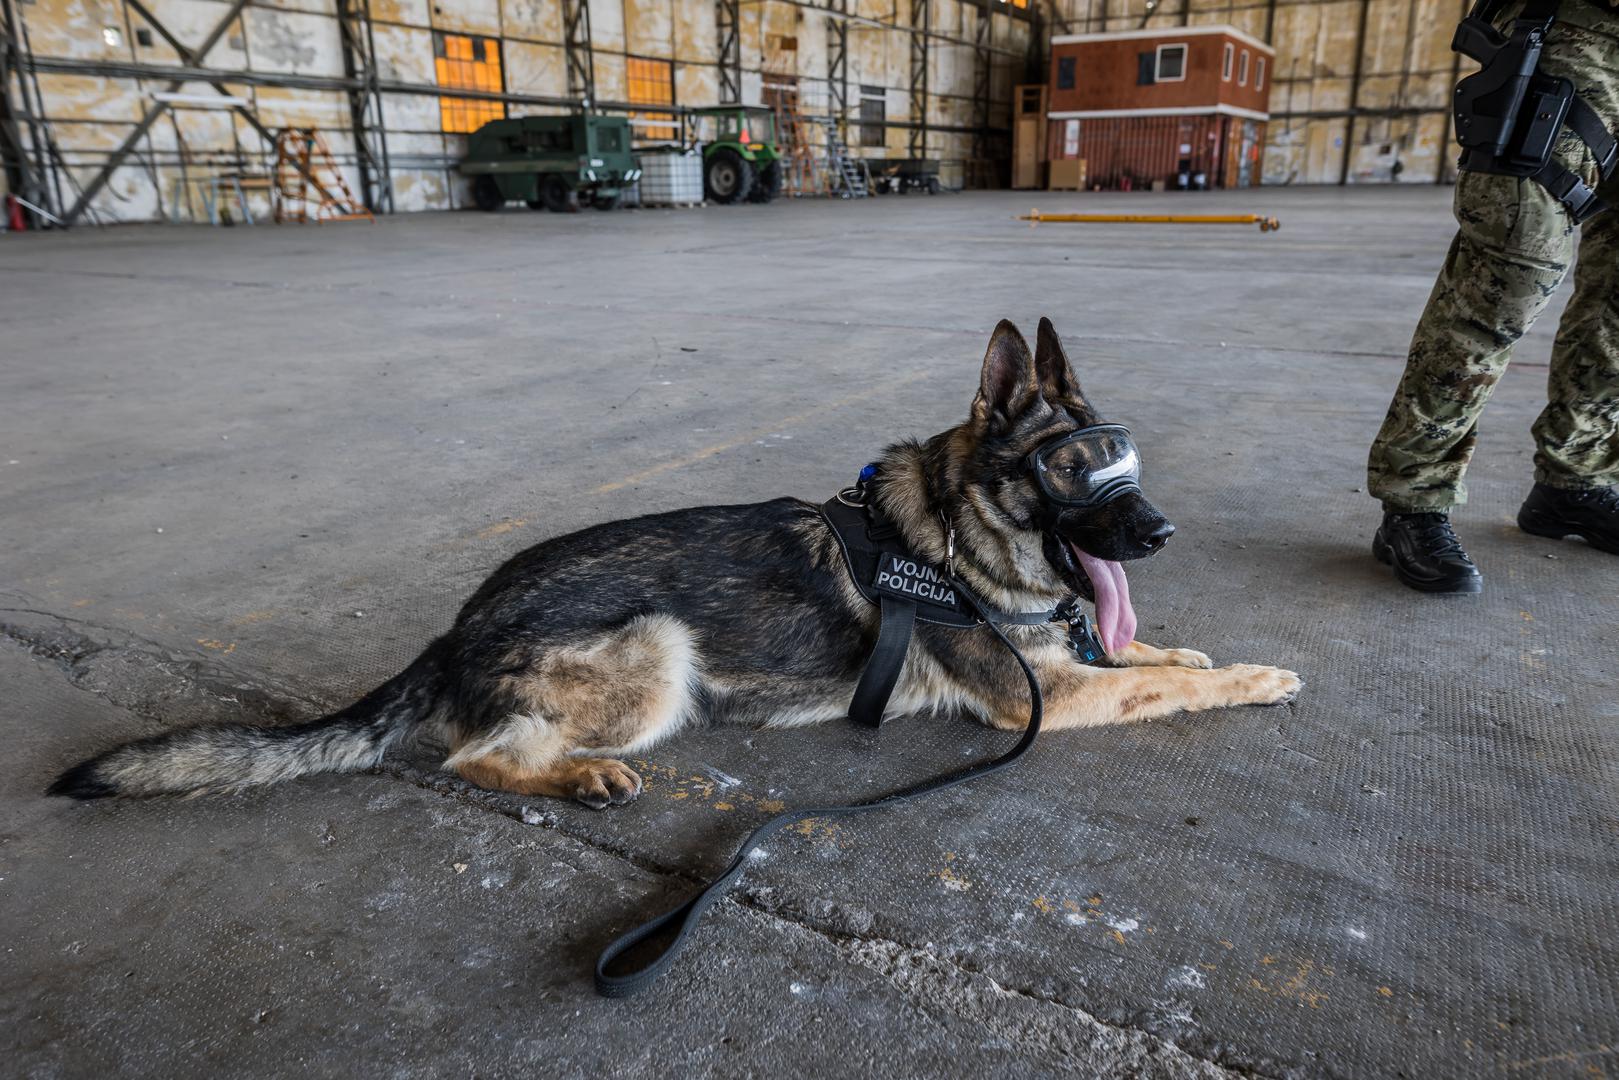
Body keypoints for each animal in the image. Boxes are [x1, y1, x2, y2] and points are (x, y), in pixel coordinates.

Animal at [50, 317, 1301, 806]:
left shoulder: (1071, 655)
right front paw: (1260, 676)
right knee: (472, 758)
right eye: (1069, 472)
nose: (1156, 531)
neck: (949, 536)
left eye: (1126, 462)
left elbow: (1152, 653)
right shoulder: (1038, 695)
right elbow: (1156, 682)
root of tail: (455, 629)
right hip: (657, 653)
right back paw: (575, 777)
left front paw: (1199, 650)